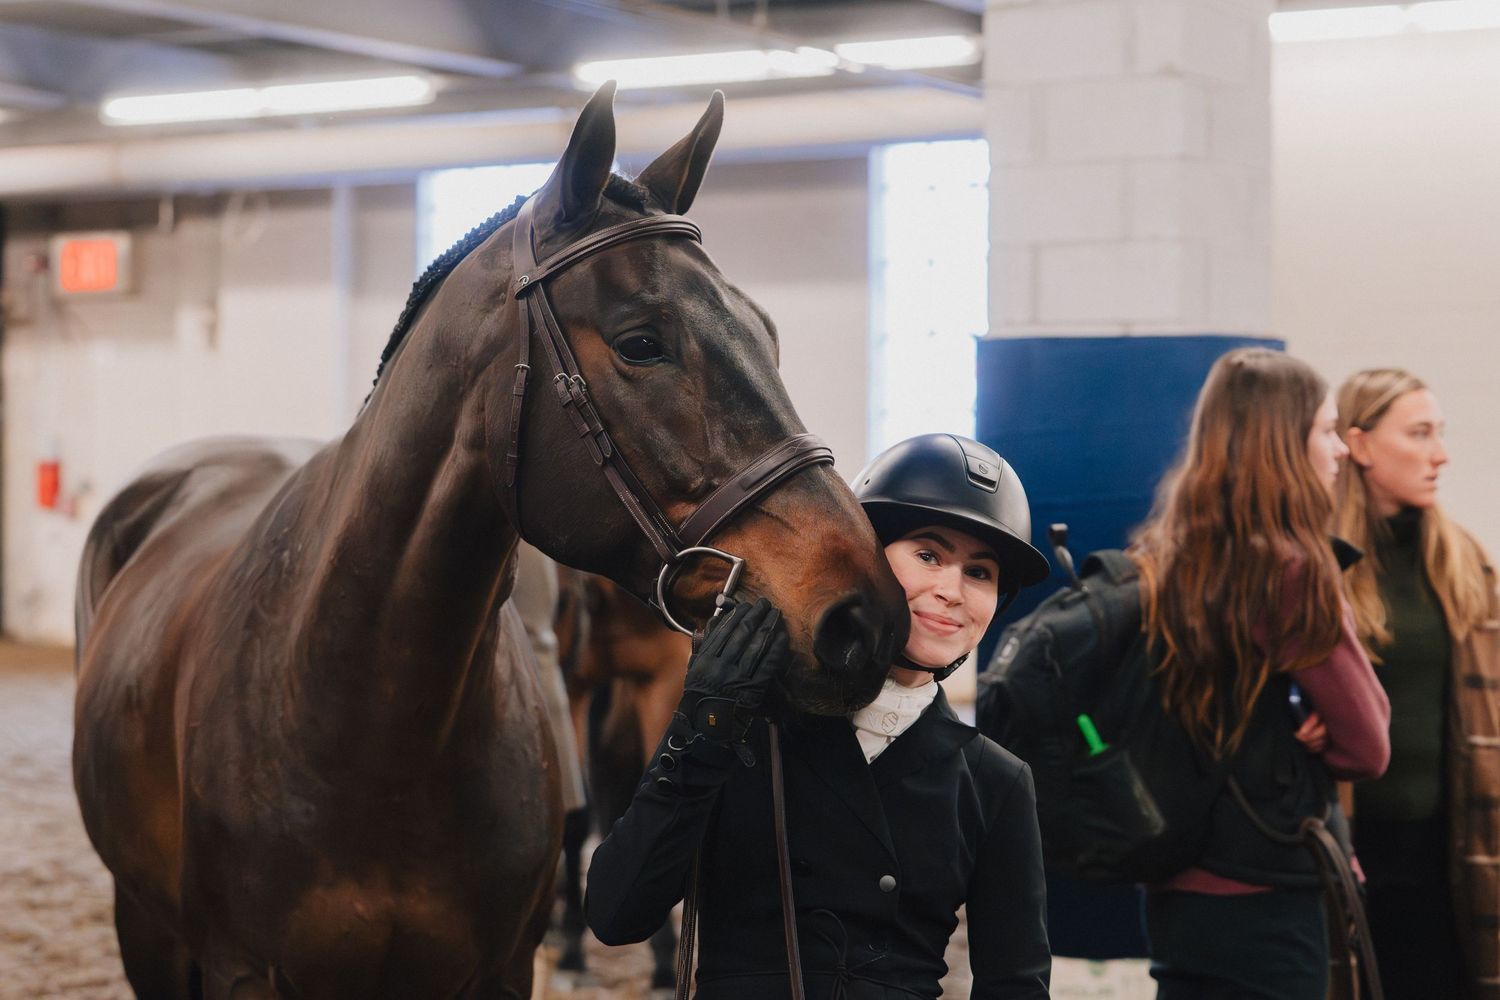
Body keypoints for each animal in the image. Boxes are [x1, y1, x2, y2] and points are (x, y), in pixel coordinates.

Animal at [72, 81, 908, 1000]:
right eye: (641, 343)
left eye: (768, 334)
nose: (864, 615)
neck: (375, 723)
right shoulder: (240, 970)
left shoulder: (500, 967)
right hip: (146, 930)